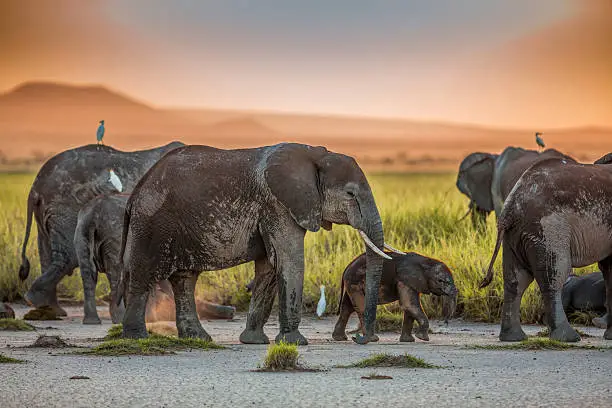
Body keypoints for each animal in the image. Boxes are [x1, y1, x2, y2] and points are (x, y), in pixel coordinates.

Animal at [19, 142, 184, 314]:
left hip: (48, 212)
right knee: (69, 255)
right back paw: (39, 302)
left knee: (46, 253)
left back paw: (48, 308)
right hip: (64, 207)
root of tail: (35, 188)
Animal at [120, 143, 396, 344]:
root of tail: (135, 193)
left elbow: (270, 267)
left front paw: (254, 342)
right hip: (152, 224)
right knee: (143, 276)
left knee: (185, 279)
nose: (366, 338)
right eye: (350, 194)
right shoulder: (278, 204)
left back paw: (198, 339)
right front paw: (295, 342)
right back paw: (136, 338)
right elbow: (289, 260)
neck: (316, 155)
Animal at [480, 155, 612, 342]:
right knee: (554, 276)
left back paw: (513, 338)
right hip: (549, 229)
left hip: (516, 235)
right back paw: (567, 338)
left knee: (516, 280)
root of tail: (510, 208)